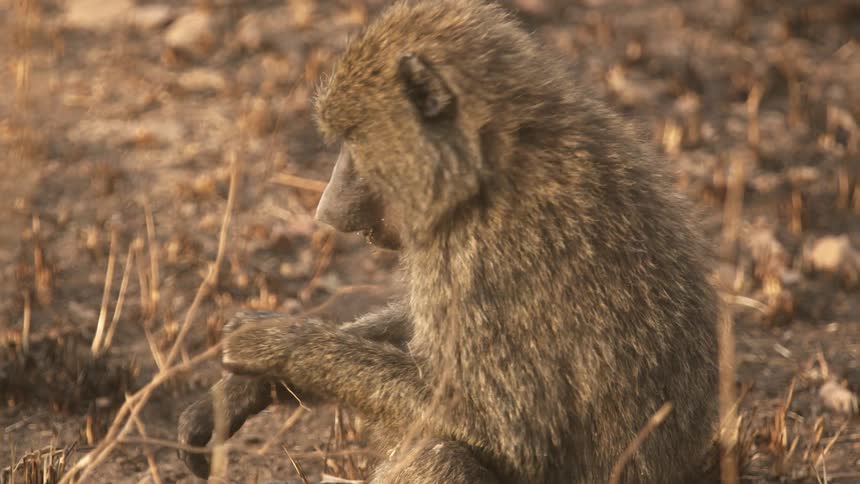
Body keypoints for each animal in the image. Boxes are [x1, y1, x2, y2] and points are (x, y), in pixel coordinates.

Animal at [178, 0, 720, 482]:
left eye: (353, 141)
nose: (325, 212)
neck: (498, 160)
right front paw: (240, 390)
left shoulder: (481, 261)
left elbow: (502, 431)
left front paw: (274, 344)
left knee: (443, 457)